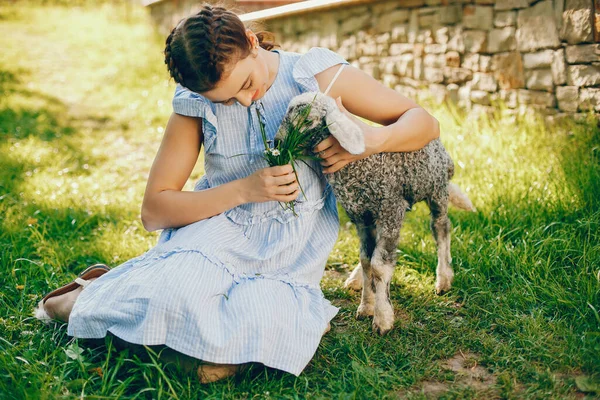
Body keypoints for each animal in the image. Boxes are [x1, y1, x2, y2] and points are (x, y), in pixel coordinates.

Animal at [274, 90, 476, 334]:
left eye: (306, 120)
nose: (276, 142)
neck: (360, 167)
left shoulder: (389, 210)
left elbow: (379, 267)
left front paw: (382, 318)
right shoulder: (362, 218)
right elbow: (366, 260)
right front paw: (366, 305)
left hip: (436, 191)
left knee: (441, 229)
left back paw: (444, 279)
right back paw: (356, 279)